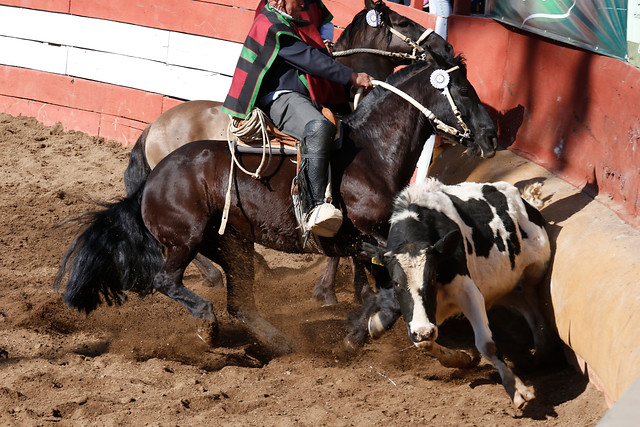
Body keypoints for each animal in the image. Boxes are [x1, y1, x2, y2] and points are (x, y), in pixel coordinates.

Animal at [56, 51, 500, 356]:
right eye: (464, 90)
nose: (492, 135)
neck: (370, 155)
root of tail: (153, 177)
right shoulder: (369, 238)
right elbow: (388, 293)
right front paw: (361, 331)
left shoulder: (367, 244)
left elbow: (384, 289)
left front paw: (363, 327)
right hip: (188, 239)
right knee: (167, 281)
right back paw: (208, 325)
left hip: (232, 243)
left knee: (240, 302)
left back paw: (281, 341)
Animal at [364, 179, 552, 410]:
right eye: (397, 282)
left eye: (432, 277)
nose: (423, 330)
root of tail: (524, 200)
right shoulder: (418, 321)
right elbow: (424, 343)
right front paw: (462, 359)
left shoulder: (468, 291)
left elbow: (487, 344)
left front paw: (516, 388)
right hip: (503, 287)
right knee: (524, 306)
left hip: (534, 272)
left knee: (535, 308)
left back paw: (542, 352)